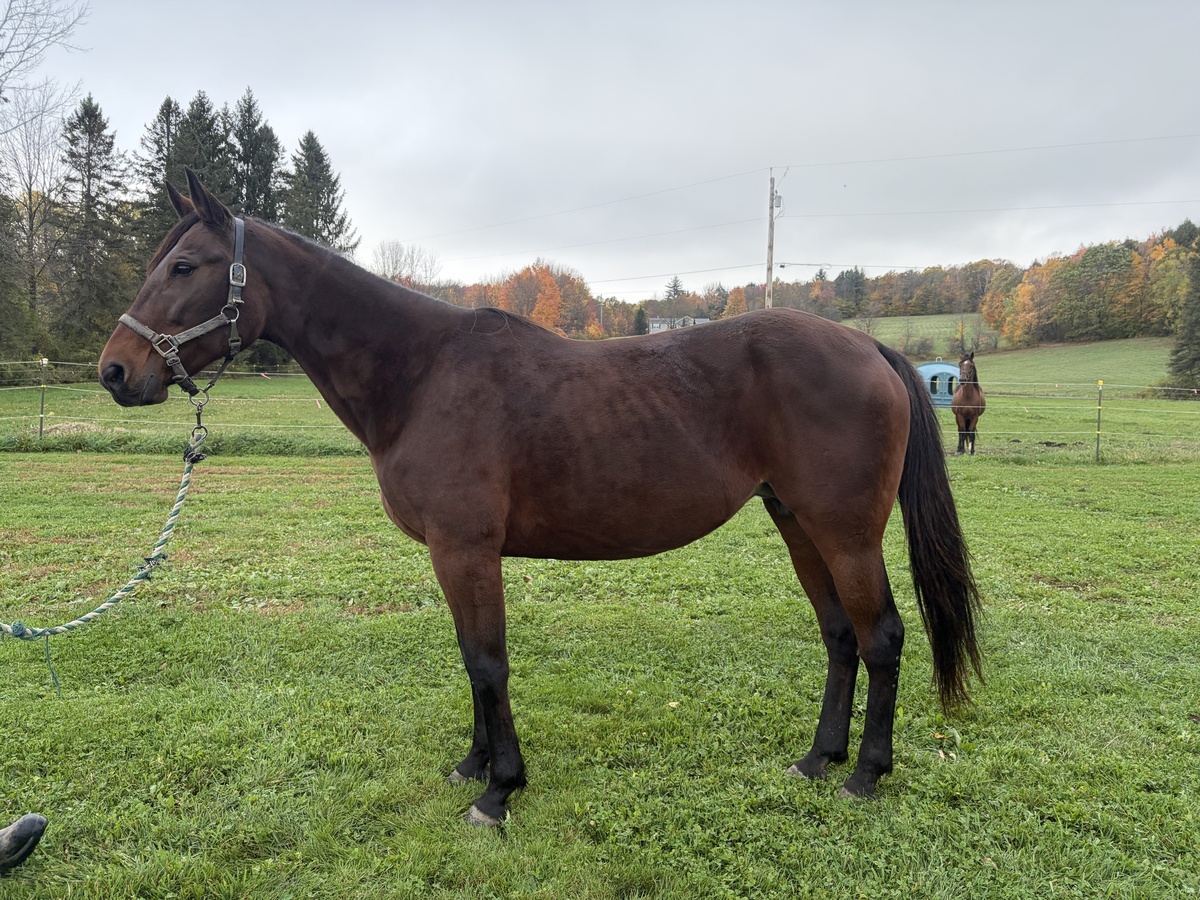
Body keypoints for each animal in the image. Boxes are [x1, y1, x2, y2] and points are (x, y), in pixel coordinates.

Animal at [98, 171, 981, 827]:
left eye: (184, 267)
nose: (114, 371)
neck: (421, 374)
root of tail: (867, 344)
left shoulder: (466, 549)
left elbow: (487, 662)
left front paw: (500, 789)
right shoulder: (453, 556)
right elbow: (469, 659)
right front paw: (473, 765)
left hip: (847, 532)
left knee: (882, 637)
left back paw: (865, 774)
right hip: (798, 524)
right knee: (839, 638)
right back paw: (816, 759)